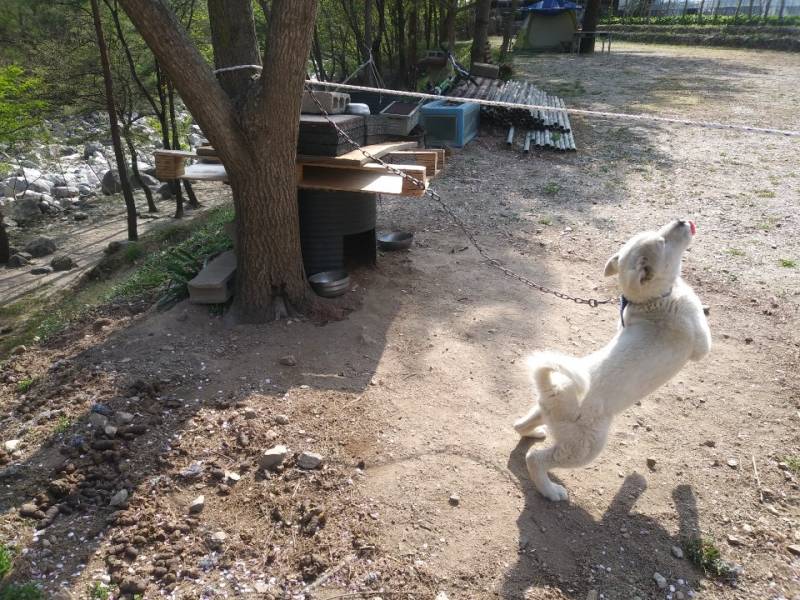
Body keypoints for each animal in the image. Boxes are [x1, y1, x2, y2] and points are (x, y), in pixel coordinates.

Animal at [516, 220, 716, 502]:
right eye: (663, 242)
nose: (681, 221)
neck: (650, 302)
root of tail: (553, 389)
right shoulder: (700, 341)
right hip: (584, 447)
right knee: (535, 459)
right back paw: (551, 491)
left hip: (546, 413)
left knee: (520, 425)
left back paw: (533, 431)